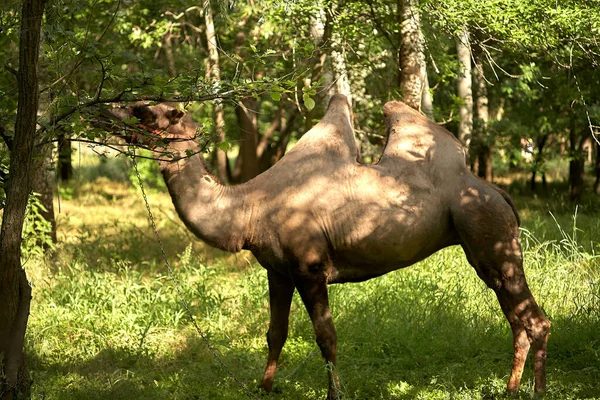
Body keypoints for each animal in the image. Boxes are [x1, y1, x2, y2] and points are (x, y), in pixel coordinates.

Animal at [110, 95, 552, 398]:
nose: (111, 113)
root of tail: (497, 192)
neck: (248, 210)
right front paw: (263, 387)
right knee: (517, 318)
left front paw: (334, 393)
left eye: (145, 111)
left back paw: (536, 391)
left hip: (488, 234)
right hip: (486, 248)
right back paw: (511, 389)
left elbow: (326, 336)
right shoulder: (277, 271)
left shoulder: (310, 268)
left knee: (534, 319)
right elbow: (275, 332)